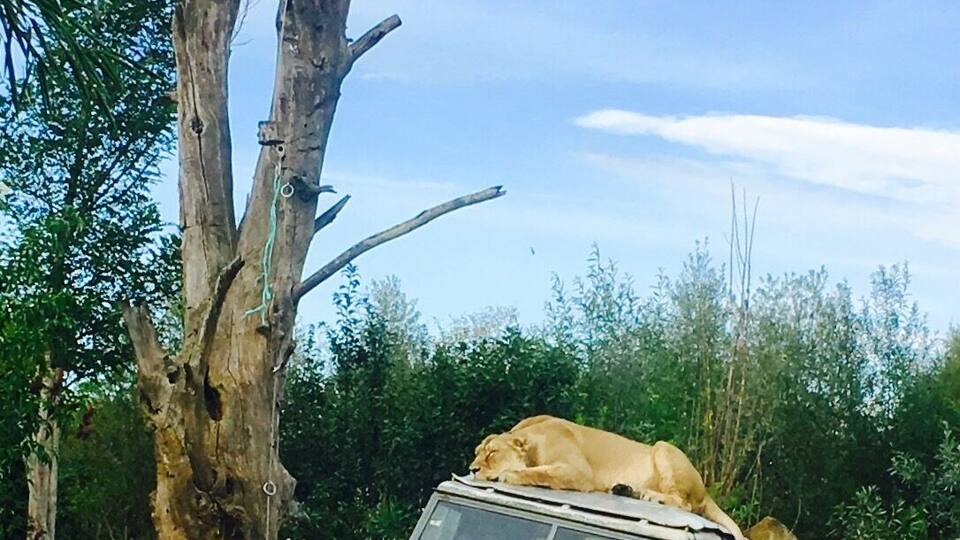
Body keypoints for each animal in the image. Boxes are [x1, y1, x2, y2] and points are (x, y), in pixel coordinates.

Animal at [470, 415, 745, 539]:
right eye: (476, 453)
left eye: (492, 453)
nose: (472, 469)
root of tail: (706, 491)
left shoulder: (579, 472)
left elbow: (540, 472)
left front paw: (508, 475)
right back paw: (625, 489)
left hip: (663, 447)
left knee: (685, 503)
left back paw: (649, 495)